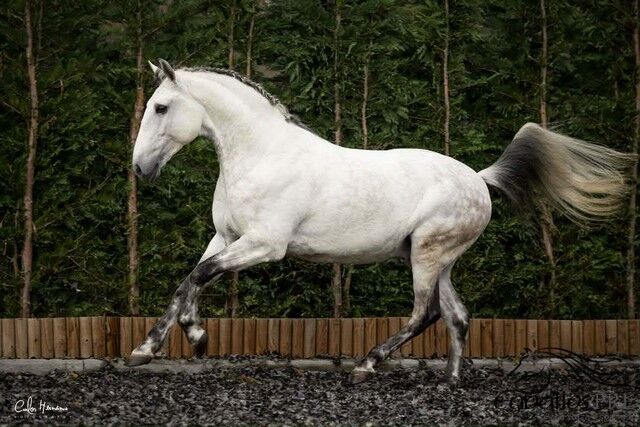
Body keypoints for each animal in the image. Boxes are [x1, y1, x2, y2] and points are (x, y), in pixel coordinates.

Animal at [128, 59, 634, 387]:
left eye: (160, 108)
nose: (140, 169)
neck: (262, 155)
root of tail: (478, 178)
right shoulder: (226, 237)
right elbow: (188, 280)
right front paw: (146, 350)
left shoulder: (265, 244)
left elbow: (200, 276)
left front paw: (196, 338)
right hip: (438, 258)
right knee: (456, 315)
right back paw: (449, 382)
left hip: (428, 253)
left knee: (425, 312)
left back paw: (367, 365)